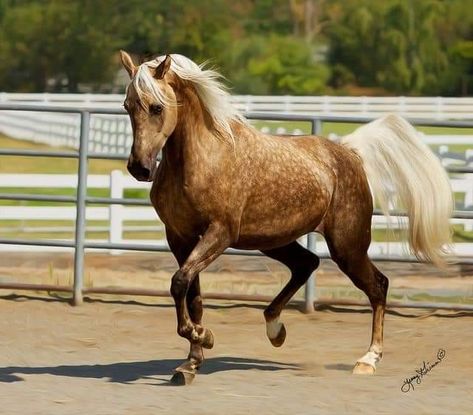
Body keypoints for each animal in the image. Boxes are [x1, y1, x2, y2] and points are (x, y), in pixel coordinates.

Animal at [117, 49, 450, 386]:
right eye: (127, 106)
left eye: (157, 107)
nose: (139, 168)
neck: (202, 159)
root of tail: (350, 153)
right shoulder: (180, 237)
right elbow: (190, 293)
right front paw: (191, 362)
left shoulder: (219, 233)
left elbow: (179, 282)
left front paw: (203, 337)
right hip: (273, 241)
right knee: (307, 264)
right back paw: (275, 329)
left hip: (347, 246)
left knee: (378, 285)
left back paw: (367, 359)